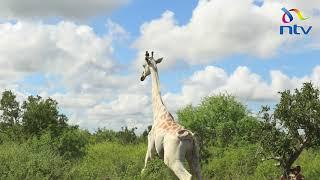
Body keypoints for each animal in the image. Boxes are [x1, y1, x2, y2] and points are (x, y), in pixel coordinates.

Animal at [141, 51, 202, 180]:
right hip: (194, 156)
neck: (158, 112)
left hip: (172, 159)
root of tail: (189, 136)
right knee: (198, 173)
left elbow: (145, 166)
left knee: (187, 176)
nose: (141, 77)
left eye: (144, 66)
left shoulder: (150, 145)